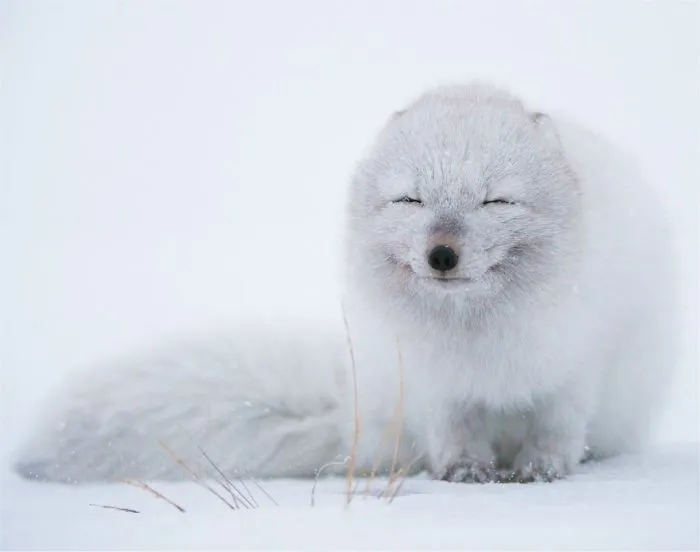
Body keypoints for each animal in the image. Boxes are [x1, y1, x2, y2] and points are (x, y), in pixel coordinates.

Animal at [13, 82, 679, 484]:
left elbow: (557, 428)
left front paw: (542, 471)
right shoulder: (434, 381)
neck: (475, 336)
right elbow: (455, 433)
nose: (442, 253)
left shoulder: (576, 363)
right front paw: (464, 473)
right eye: (410, 199)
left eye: (496, 200)